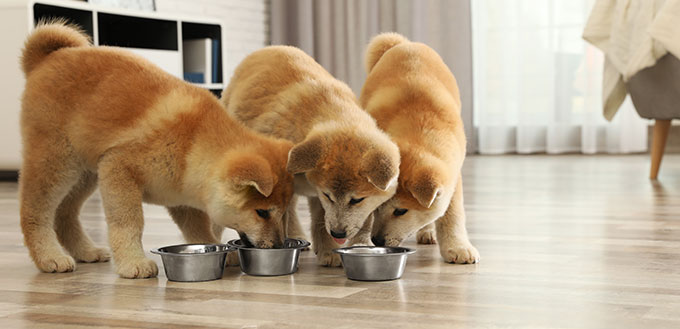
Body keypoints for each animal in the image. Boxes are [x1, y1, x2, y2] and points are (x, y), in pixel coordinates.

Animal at [18, 23, 294, 278]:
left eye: (283, 213)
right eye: (262, 212)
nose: (278, 245)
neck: (193, 143)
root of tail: (46, 58)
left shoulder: (181, 199)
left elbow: (199, 230)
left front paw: (219, 249)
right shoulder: (119, 169)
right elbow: (128, 223)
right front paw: (133, 262)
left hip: (86, 172)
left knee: (64, 213)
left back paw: (86, 251)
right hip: (57, 162)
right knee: (35, 212)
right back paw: (49, 257)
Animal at [220, 46, 402, 266]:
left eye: (357, 200)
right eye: (328, 195)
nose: (338, 233)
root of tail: (267, 49)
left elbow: (320, 217)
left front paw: (329, 251)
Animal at [358, 33, 480, 262]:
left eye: (400, 211)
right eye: (378, 207)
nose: (377, 241)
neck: (418, 132)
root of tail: (404, 44)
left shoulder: (452, 176)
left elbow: (452, 215)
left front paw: (457, 247)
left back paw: (428, 232)